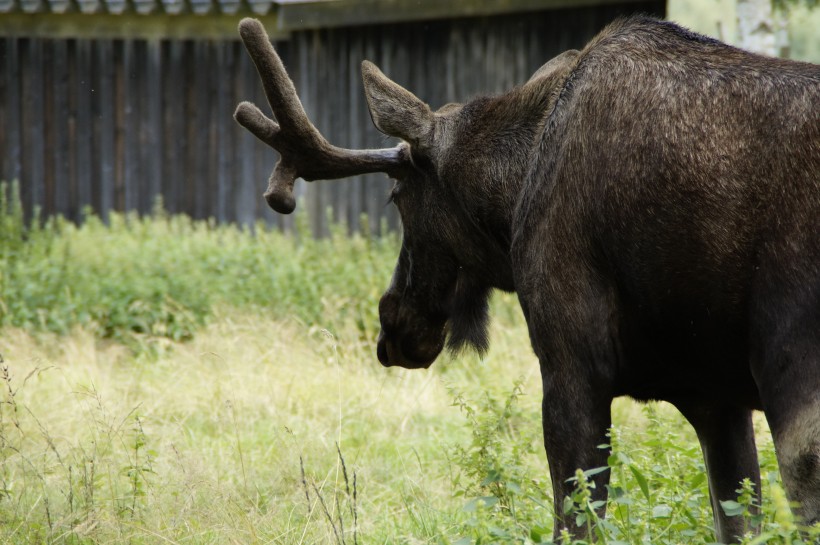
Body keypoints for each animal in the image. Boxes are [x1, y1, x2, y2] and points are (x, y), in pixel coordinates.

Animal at [234, 15, 816, 540]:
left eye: (396, 197)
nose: (392, 325)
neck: (513, 193)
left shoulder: (571, 362)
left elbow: (576, 521)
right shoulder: (714, 395)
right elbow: (738, 519)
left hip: (792, 368)